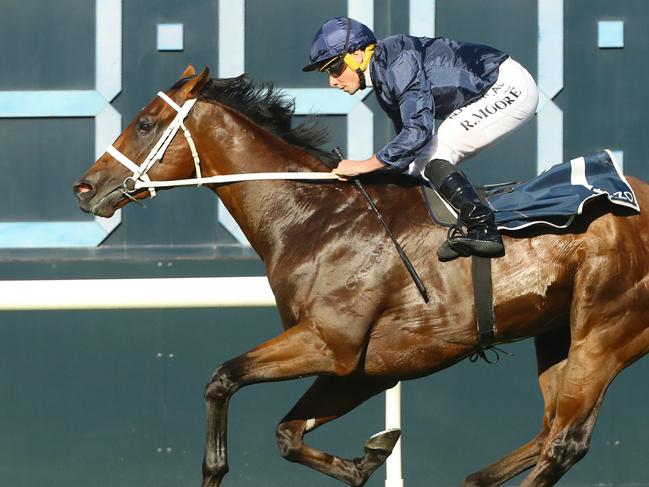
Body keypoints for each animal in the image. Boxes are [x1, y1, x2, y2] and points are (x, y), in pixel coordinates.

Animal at [73, 65, 648, 487]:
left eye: (145, 123)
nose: (85, 187)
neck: (315, 216)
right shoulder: (366, 368)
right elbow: (288, 434)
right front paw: (371, 455)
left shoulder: (331, 342)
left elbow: (222, 379)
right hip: (557, 334)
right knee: (548, 431)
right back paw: (476, 478)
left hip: (605, 332)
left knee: (565, 443)